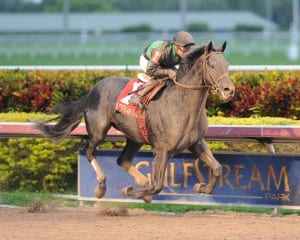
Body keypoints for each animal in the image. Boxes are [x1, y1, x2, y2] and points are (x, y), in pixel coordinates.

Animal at [37, 41, 234, 202]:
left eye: (227, 65)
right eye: (211, 65)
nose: (229, 90)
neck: (182, 104)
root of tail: (92, 90)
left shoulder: (196, 142)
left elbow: (217, 168)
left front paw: (201, 186)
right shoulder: (161, 149)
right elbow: (157, 186)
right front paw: (130, 190)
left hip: (135, 137)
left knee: (123, 160)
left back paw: (140, 182)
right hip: (99, 130)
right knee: (89, 151)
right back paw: (101, 188)